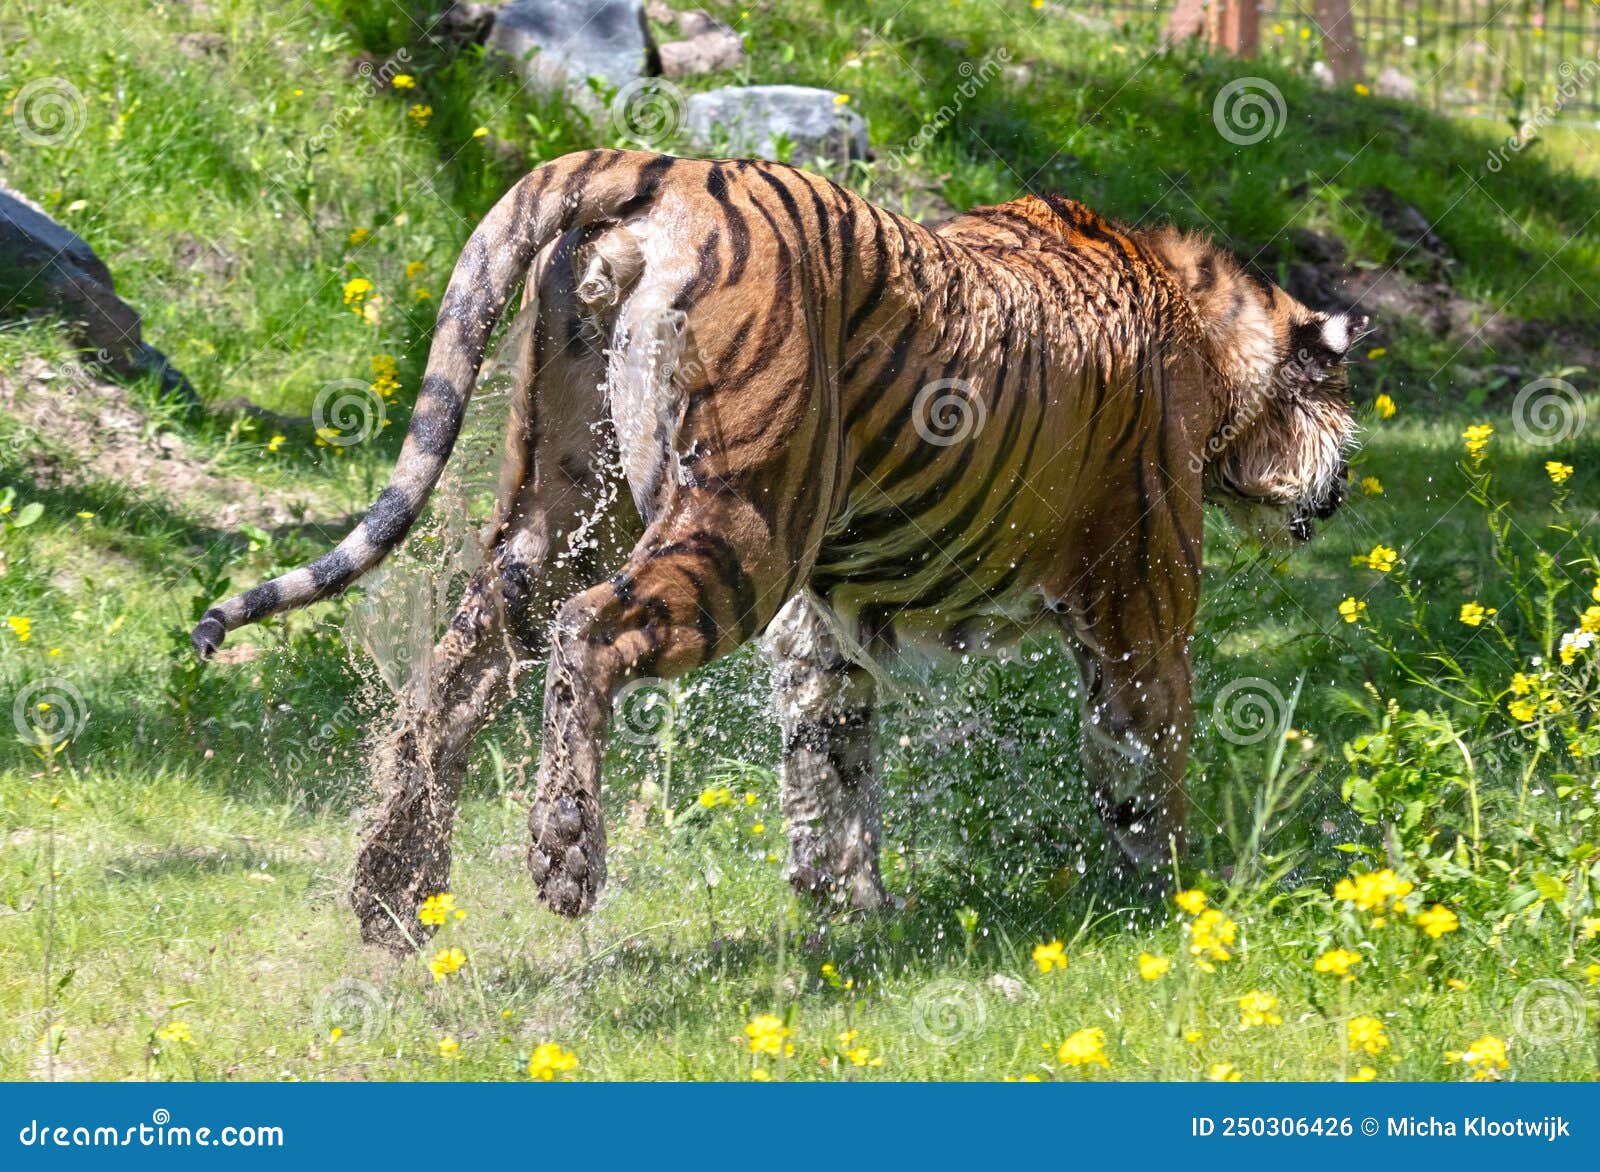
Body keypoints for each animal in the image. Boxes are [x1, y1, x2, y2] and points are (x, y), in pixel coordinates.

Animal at [190, 148, 1363, 954]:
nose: (1344, 484)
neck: (1205, 329)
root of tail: (653, 163)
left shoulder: (823, 627)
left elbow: (832, 763)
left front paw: (847, 905)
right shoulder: (1143, 608)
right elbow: (1145, 762)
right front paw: (1174, 903)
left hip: (563, 506)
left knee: (457, 668)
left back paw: (393, 892)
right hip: (739, 530)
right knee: (588, 633)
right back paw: (564, 857)